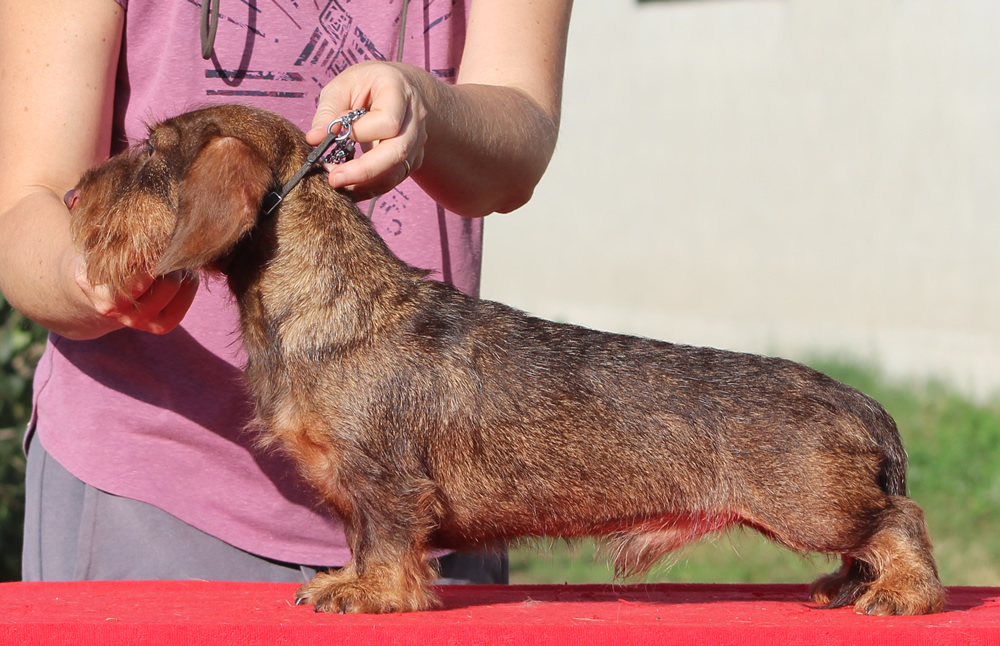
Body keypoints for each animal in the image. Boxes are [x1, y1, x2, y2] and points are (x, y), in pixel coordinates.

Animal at [68, 106, 944, 616]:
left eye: (153, 153)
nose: (73, 197)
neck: (331, 305)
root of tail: (862, 402)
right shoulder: (354, 491)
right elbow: (358, 539)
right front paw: (346, 581)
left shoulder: (385, 482)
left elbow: (388, 542)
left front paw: (375, 596)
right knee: (873, 534)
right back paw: (846, 585)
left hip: (810, 507)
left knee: (899, 520)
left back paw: (902, 593)